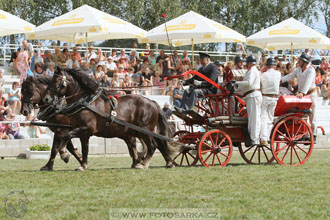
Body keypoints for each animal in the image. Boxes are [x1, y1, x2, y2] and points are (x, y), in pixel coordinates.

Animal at [44, 68, 178, 169]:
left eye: (56, 80)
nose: (46, 98)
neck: (85, 102)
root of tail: (152, 101)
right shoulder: (82, 132)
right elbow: (84, 148)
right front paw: (83, 165)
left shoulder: (86, 129)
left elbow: (66, 137)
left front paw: (64, 154)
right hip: (138, 131)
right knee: (156, 143)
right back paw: (165, 162)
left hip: (145, 130)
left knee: (153, 145)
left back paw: (144, 164)